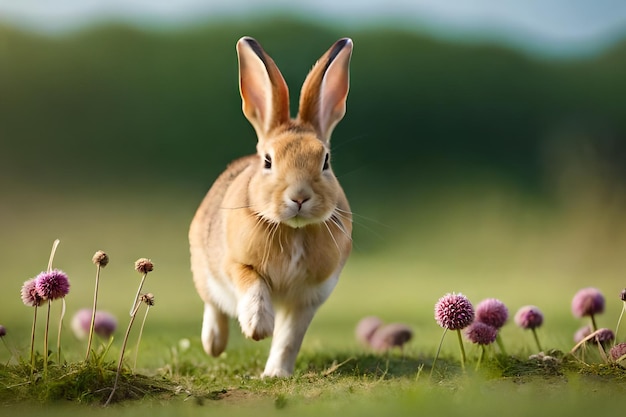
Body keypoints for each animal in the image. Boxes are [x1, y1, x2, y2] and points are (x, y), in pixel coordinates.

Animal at [188, 36, 354, 376]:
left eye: (326, 161)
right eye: (268, 161)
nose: (300, 197)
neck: (294, 230)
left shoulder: (307, 298)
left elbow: (288, 338)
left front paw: (275, 373)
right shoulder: (236, 264)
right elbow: (252, 286)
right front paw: (257, 328)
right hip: (203, 266)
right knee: (213, 305)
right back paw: (214, 344)